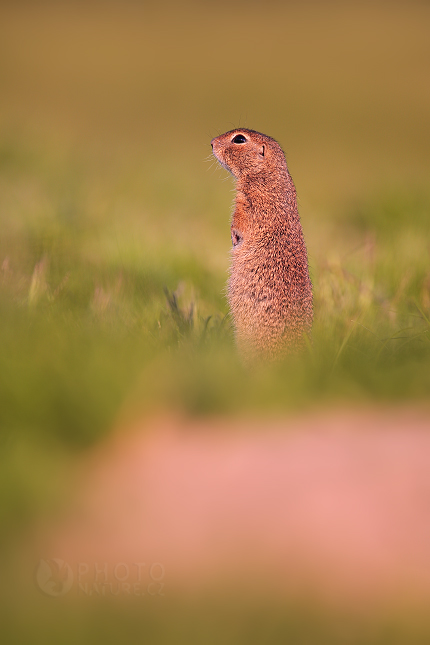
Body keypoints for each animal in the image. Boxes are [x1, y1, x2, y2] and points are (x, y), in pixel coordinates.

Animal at [212, 128, 312, 360]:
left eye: (239, 139)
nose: (211, 143)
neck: (265, 172)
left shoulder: (251, 201)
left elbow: (240, 221)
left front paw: (235, 237)